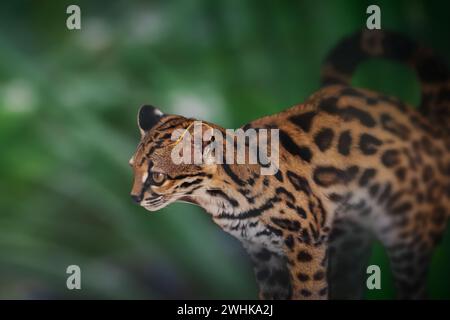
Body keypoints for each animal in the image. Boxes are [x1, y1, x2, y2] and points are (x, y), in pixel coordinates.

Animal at [128, 30, 448, 300]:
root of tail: (426, 121)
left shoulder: (306, 242)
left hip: (407, 239)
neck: (224, 200)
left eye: (157, 176)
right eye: (133, 168)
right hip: (351, 242)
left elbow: (309, 292)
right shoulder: (262, 253)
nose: (133, 198)